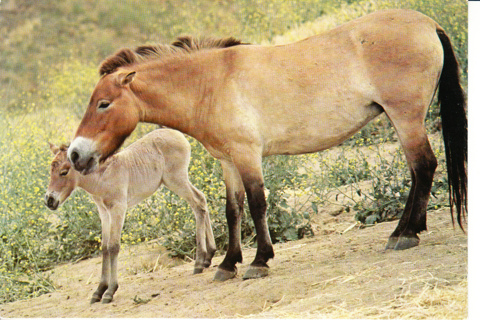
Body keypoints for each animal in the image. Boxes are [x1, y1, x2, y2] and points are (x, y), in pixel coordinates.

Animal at [44, 128, 215, 302]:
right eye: (50, 172)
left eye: (64, 172)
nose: (49, 200)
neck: (102, 177)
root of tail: (177, 134)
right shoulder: (103, 212)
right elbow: (104, 247)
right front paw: (99, 290)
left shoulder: (118, 208)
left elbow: (113, 246)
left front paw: (110, 291)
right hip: (175, 182)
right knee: (202, 199)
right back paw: (209, 256)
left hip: (176, 180)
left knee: (198, 203)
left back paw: (199, 262)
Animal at [66, 9, 464, 280]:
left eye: (103, 104)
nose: (75, 154)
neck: (210, 83)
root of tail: (427, 23)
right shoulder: (228, 161)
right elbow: (233, 209)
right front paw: (227, 264)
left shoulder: (247, 156)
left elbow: (258, 204)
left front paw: (260, 260)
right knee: (418, 170)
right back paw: (402, 231)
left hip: (406, 118)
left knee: (424, 166)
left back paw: (407, 233)